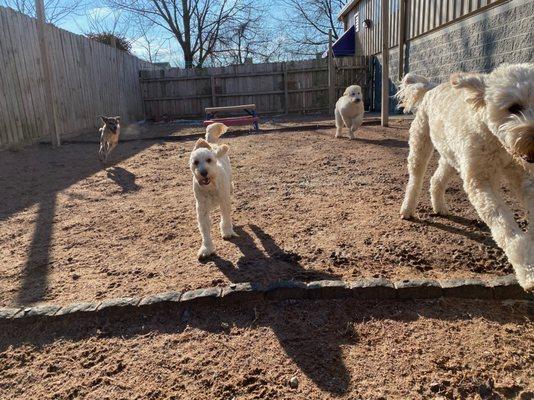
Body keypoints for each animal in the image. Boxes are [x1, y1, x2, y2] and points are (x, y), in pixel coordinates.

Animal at [189, 122, 238, 260]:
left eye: (209, 160)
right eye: (195, 162)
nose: (203, 172)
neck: (210, 187)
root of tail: (212, 144)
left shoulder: (224, 201)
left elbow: (226, 217)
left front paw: (227, 231)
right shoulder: (202, 209)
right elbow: (205, 229)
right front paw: (207, 248)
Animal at [398, 63, 534, 290]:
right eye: (514, 108)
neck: (499, 145)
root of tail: (430, 86)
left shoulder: (524, 177)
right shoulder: (480, 182)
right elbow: (505, 227)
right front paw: (527, 272)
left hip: (452, 155)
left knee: (436, 179)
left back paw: (440, 206)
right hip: (421, 142)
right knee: (415, 178)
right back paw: (407, 209)